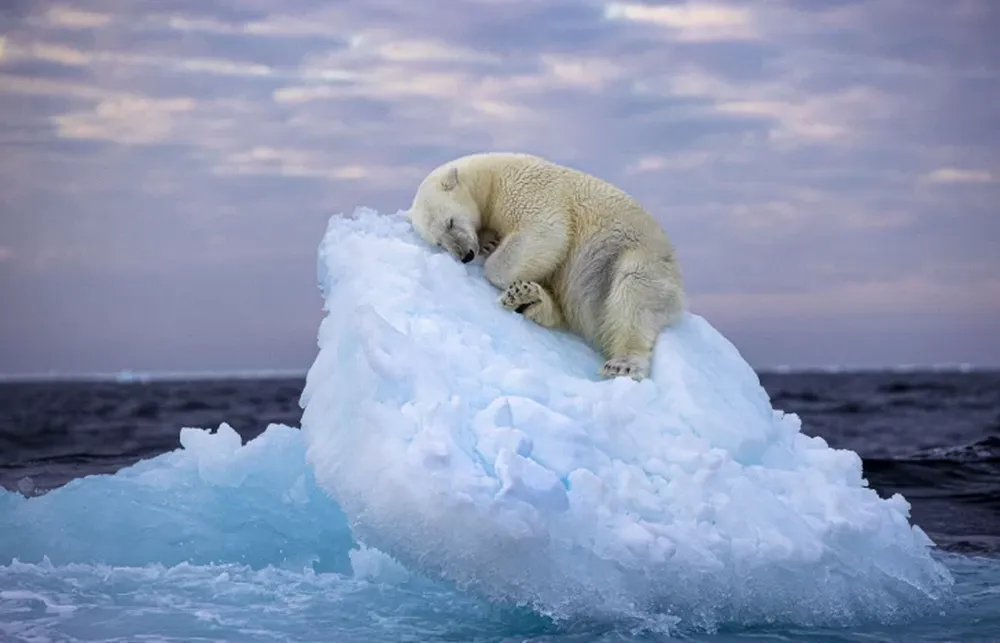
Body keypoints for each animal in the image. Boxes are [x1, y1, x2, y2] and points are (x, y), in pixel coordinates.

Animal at [406, 152, 686, 381]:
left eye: (450, 222)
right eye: (439, 241)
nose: (465, 255)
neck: (490, 176)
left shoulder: (526, 189)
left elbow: (545, 231)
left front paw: (494, 258)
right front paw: (490, 243)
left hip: (635, 256)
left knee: (633, 293)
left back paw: (623, 364)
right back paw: (527, 298)